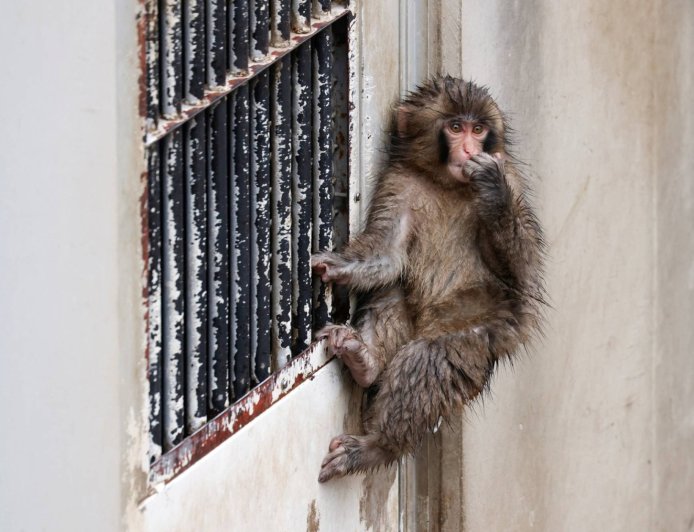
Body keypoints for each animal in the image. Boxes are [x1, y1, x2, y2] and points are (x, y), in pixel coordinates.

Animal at [311, 76, 545, 483]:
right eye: (455, 127)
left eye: (478, 130)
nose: (468, 149)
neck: (447, 184)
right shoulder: (398, 182)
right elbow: (388, 255)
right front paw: (337, 267)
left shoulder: (513, 179)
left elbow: (523, 273)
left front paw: (493, 190)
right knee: (390, 292)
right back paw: (365, 361)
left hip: (481, 332)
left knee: (428, 358)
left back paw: (377, 447)